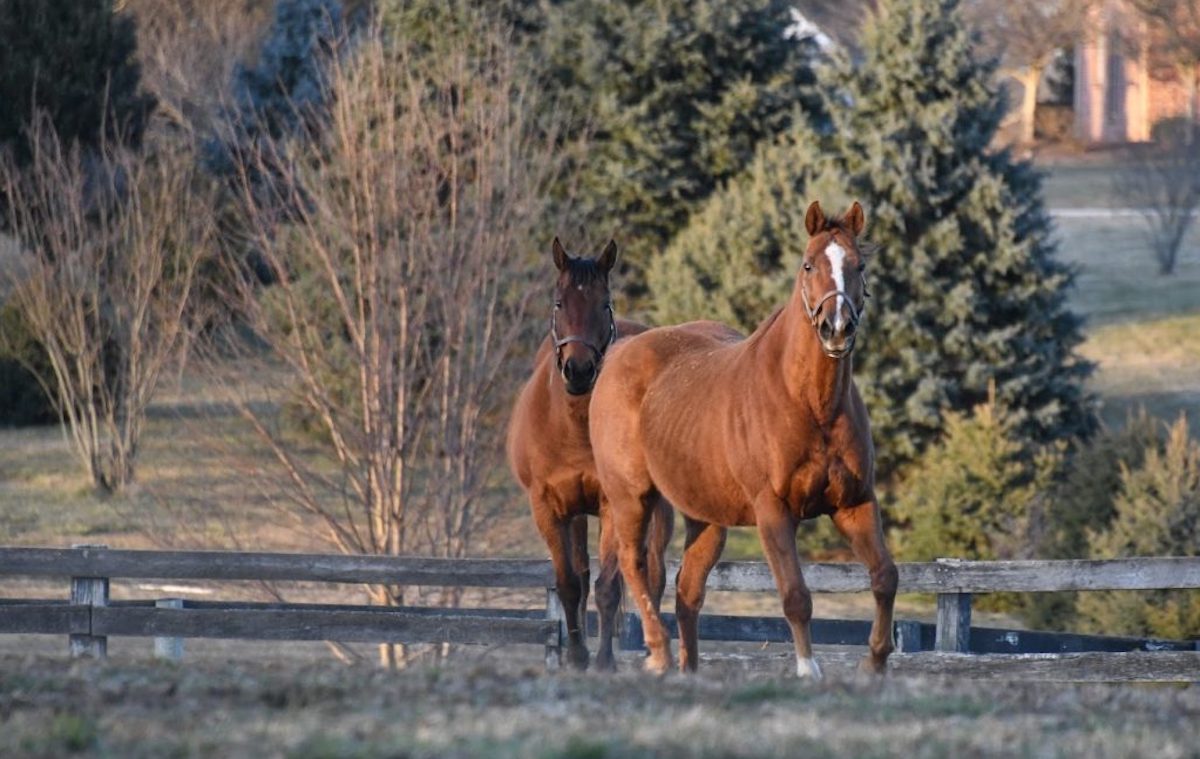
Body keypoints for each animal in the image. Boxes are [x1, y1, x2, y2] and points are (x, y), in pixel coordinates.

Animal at [506, 237, 676, 667]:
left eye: (604, 303)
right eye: (558, 303)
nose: (579, 370)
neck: (574, 429)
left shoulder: (612, 504)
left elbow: (609, 586)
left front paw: (603, 661)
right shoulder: (548, 508)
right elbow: (570, 583)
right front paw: (578, 656)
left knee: (653, 574)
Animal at [590, 201, 902, 677]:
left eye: (859, 265)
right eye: (808, 264)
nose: (836, 328)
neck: (810, 404)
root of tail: (618, 355)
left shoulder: (855, 503)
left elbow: (885, 577)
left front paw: (875, 663)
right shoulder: (773, 510)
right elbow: (795, 595)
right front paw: (808, 669)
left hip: (705, 520)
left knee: (687, 590)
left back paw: (688, 670)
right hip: (631, 498)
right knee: (634, 565)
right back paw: (659, 653)